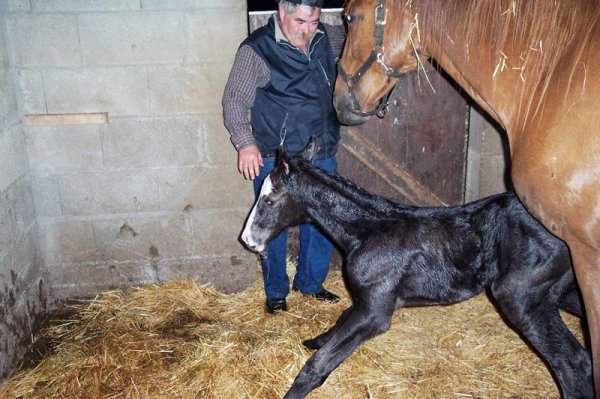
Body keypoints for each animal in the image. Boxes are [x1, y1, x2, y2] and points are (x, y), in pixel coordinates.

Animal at [239, 142, 592, 398]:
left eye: (269, 200)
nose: (248, 240)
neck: (368, 231)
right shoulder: (368, 302)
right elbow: (338, 323)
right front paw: (316, 338)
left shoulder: (375, 313)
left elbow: (317, 366)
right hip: (561, 292)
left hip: (521, 295)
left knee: (573, 362)